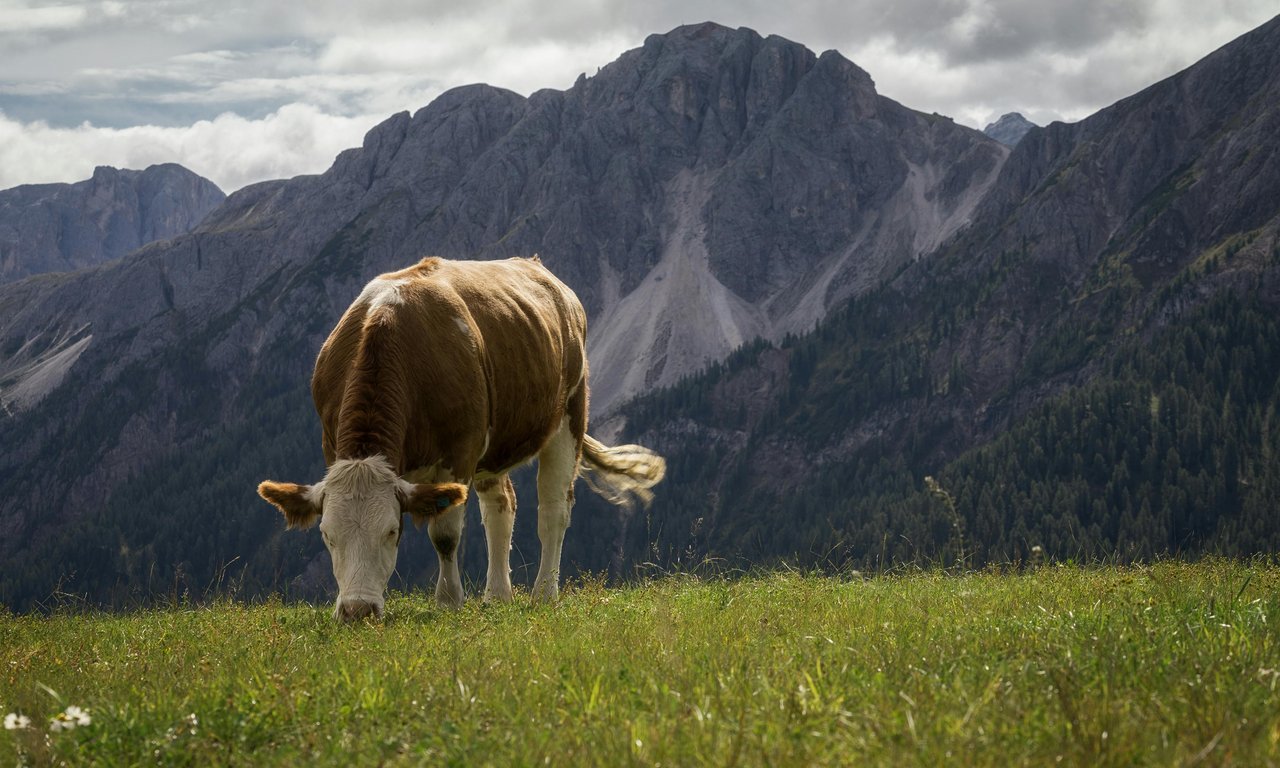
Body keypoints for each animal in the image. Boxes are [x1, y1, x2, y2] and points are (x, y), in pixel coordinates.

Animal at [257, 256, 665, 622]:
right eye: (327, 535)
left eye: (392, 531)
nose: (358, 611)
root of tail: (538, 267)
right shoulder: (330, 444)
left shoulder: (460, 452)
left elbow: (445, 534)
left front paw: (449, 600)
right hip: (495, 447)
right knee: (501, 507)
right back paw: (497, 594)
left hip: (568, 416)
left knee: (553, 510)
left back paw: (544, 593)